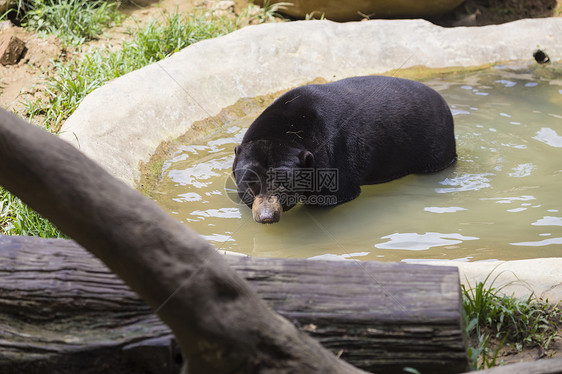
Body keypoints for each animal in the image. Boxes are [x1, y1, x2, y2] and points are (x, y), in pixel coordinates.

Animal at [232, 74, 456, 224]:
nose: (266, 216)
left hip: (434, 142)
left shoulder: (332, 154)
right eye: (250, 187)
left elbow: (334, 195)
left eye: (284, 187)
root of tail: (443, 101)